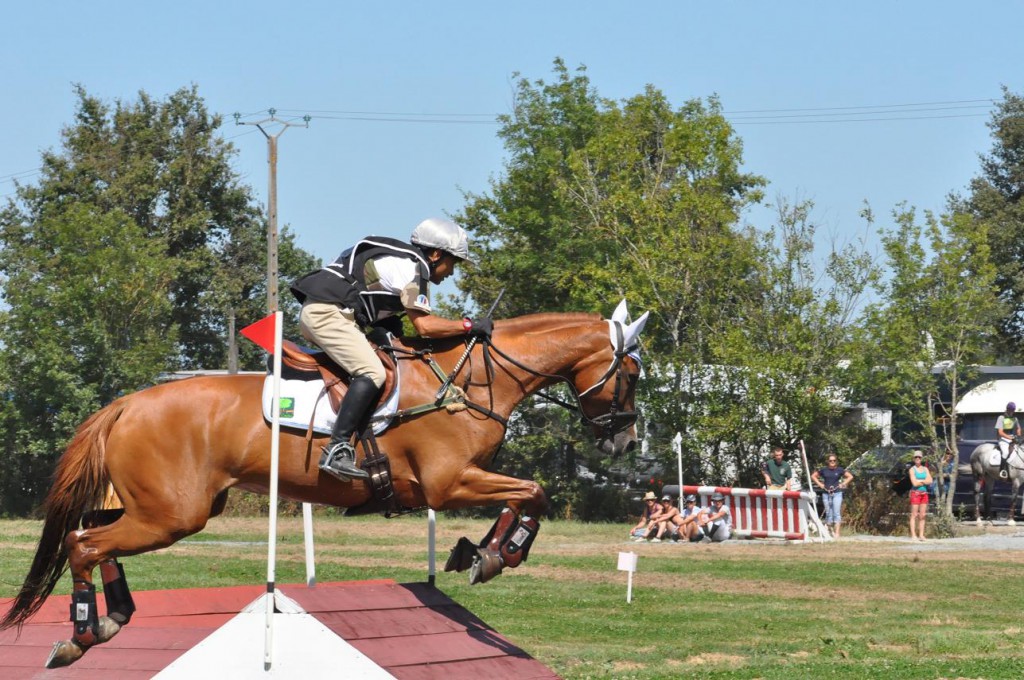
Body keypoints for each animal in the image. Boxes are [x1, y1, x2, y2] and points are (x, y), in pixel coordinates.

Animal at [0, 305, 643, 667]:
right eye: (633, 372)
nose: (626, 443)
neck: (472, 380)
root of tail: (128, 403)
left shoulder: (462, 483)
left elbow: (527, 495)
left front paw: (477, 552)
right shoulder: (447, 483)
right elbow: (532, 492)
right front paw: (493, 556)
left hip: (163, 509)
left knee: (89, 536)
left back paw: (114, 619)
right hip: (171, 515)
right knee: (83, 543)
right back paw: (82, 634)